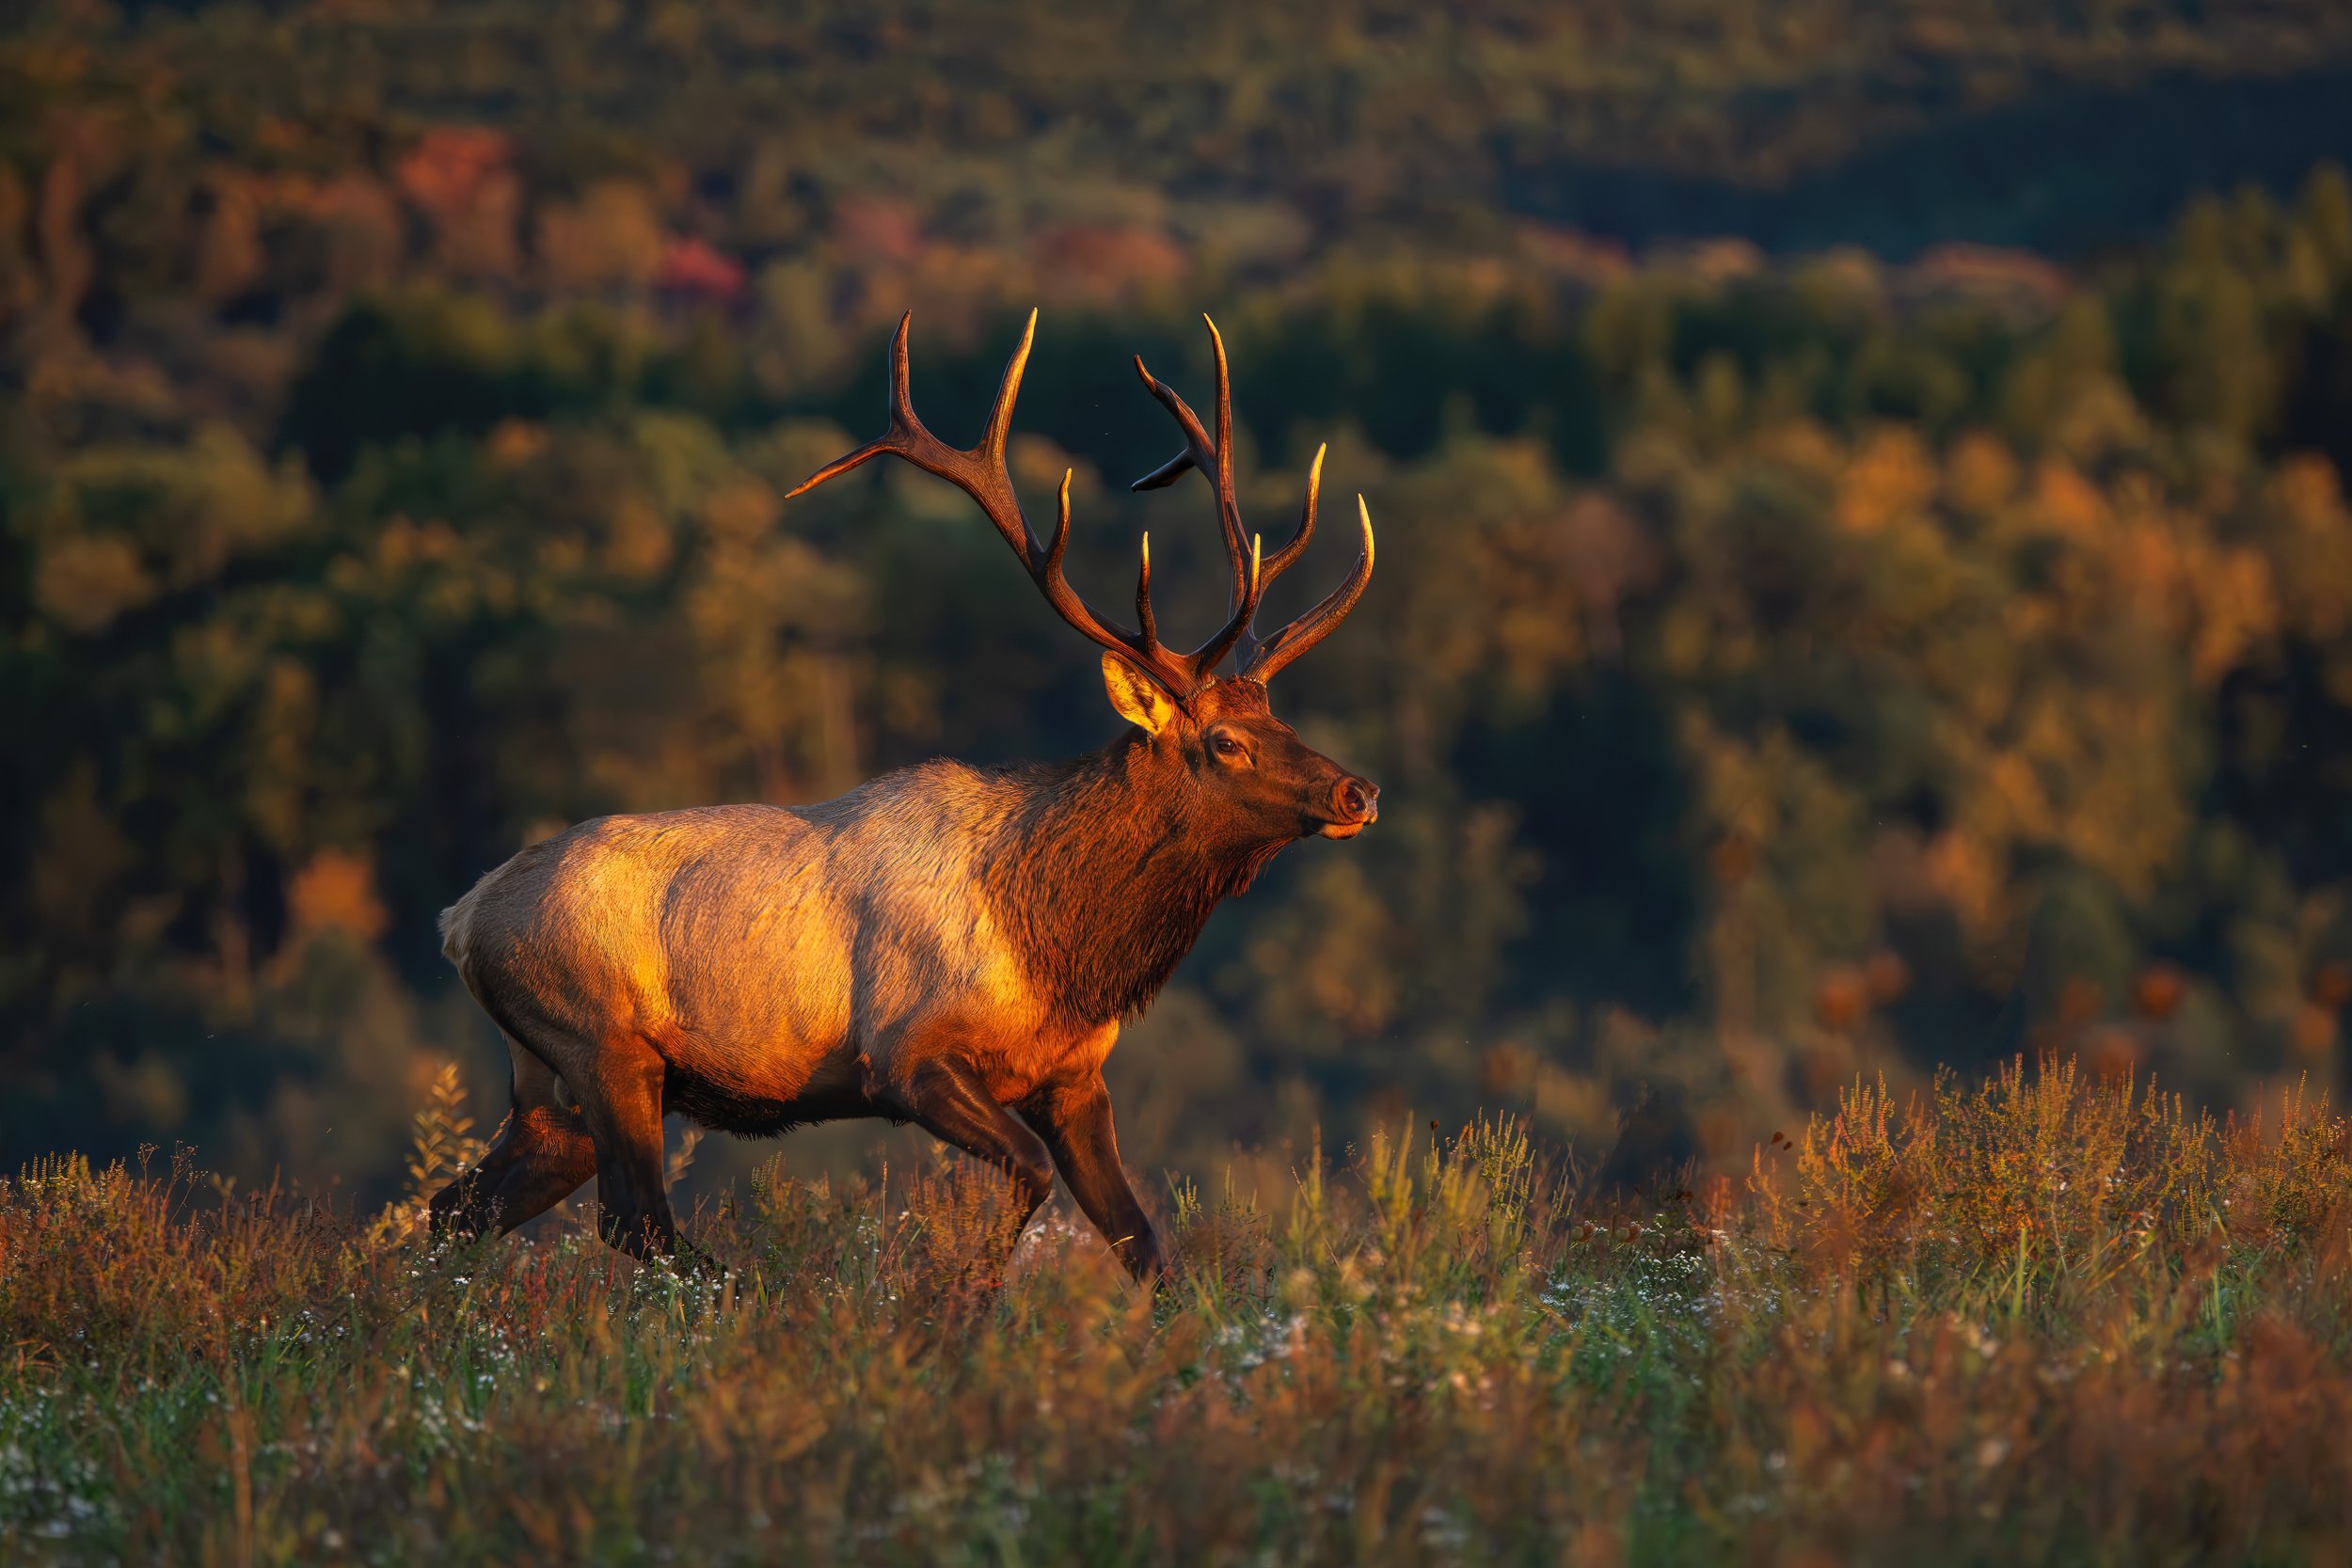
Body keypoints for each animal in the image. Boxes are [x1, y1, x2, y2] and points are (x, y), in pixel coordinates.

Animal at [428, 310, 1377, 1283]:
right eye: (1225, 740)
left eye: (1277, 715)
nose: (1358, 791)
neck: (1062, 954)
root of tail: (460, 919)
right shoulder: (905, 1051)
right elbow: (1030, 1176)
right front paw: (958, 1291)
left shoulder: (1073, 1076)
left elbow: (1144, 1243)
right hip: (605, 1047)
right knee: (635, 1221)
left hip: (549, 1089)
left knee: (455, 1209)